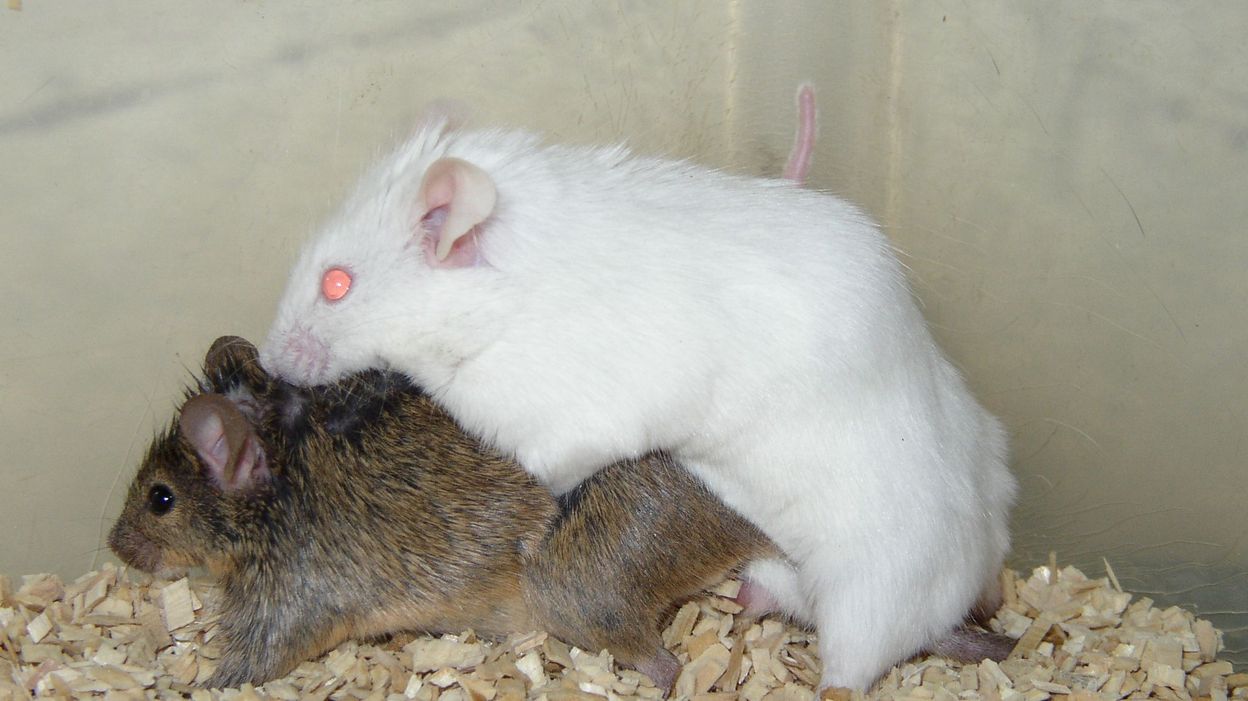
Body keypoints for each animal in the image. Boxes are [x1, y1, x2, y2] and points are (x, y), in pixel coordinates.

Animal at [259, 91, 1017, 690]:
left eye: (336, 283)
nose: (267, 362)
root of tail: (951, 607)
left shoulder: (563, 425)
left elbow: (553, 475)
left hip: (864, 600)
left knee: (847, 675)